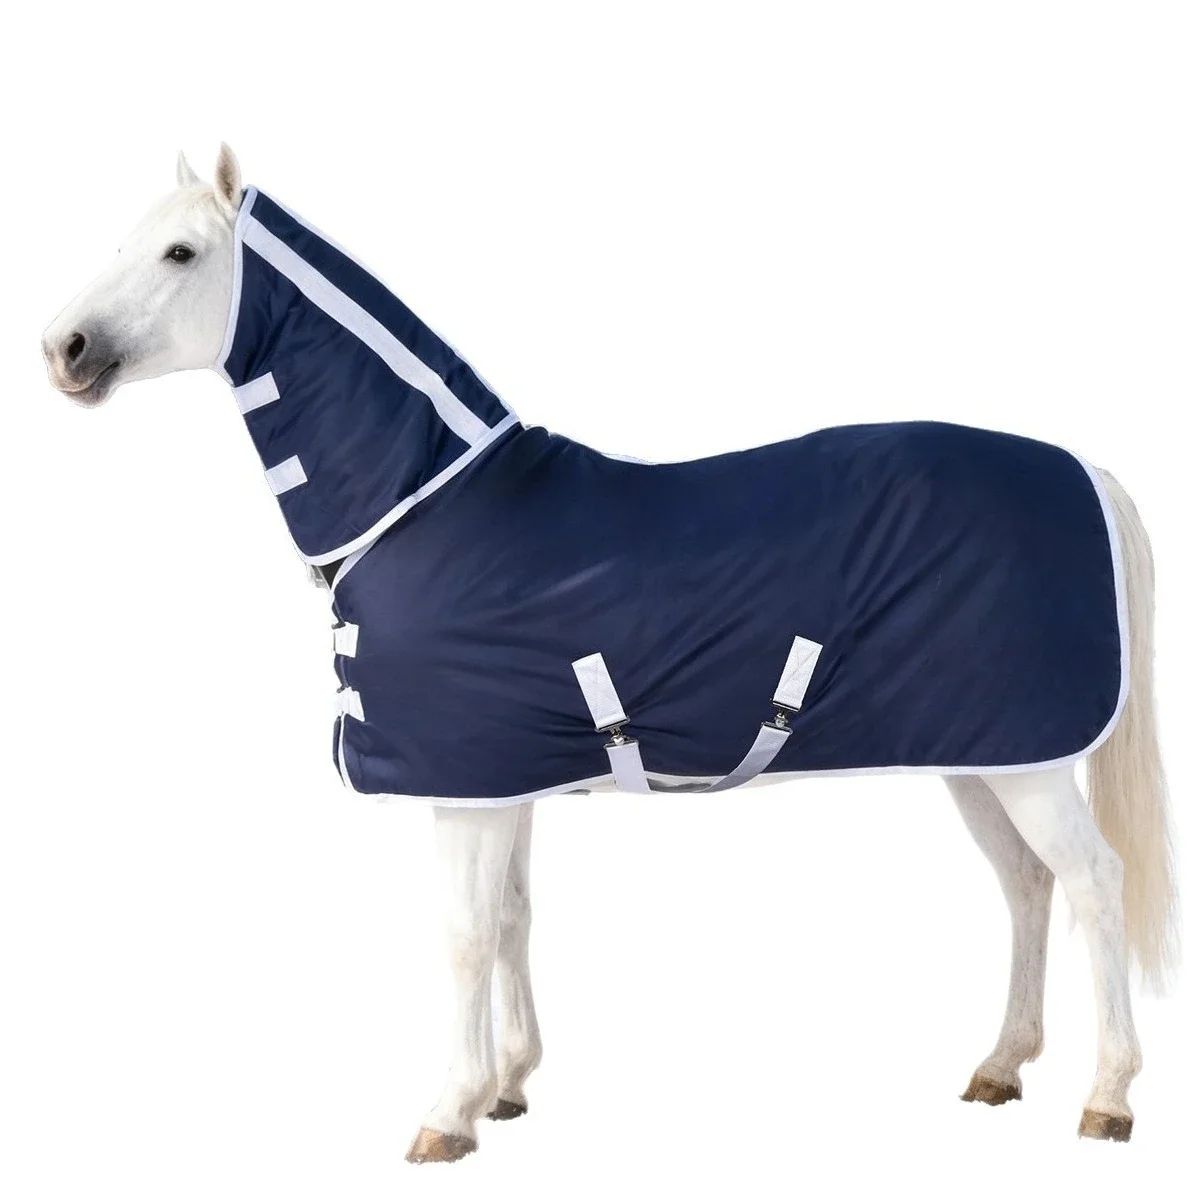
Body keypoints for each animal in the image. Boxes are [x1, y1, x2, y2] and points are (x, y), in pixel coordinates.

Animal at [41, 145, 1178, 1163]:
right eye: (125, 241)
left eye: (181, 253)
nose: (65, 348)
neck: (424, 503)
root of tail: (1087, 471)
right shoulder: (506, 781)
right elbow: (511, 920)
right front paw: (507, 1087)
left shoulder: (463, 790)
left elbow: (464, 935)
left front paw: (446, 1114)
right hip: (982, 752)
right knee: (1027, 889)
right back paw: (1001, 1066)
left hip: (1025, 765)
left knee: (1093, 883)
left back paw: (1108, 1097)